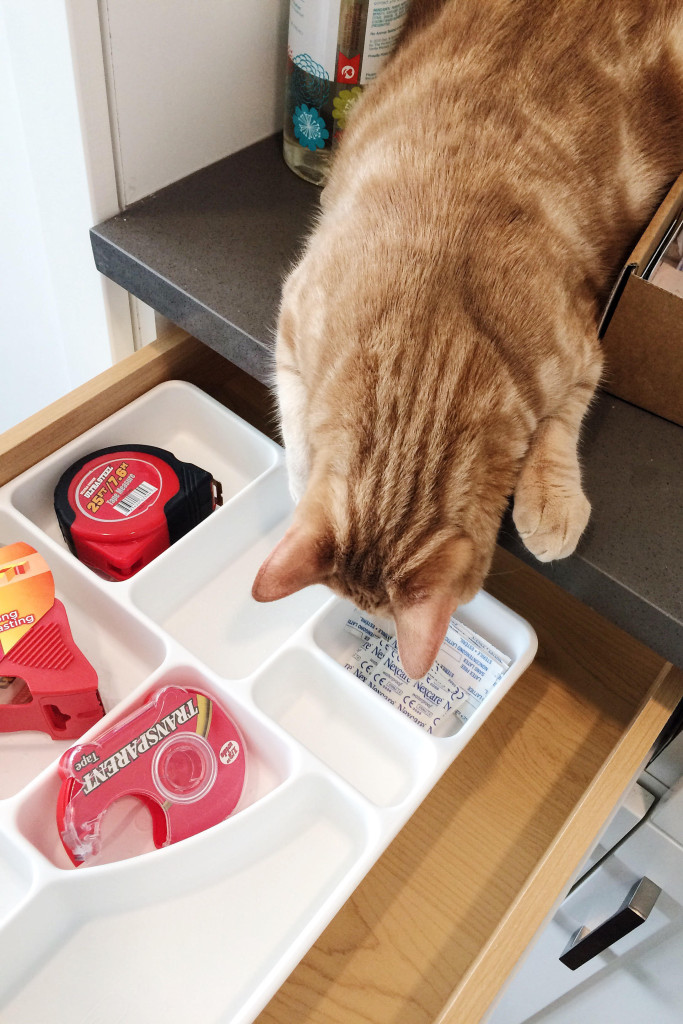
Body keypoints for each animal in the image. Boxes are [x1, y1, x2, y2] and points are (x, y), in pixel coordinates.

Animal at [252, 0, 683, 679]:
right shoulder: (294, 319)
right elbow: (293, 425)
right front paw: (298, 479)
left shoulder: (584, 348)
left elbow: (560, 423)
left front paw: (551, 501)